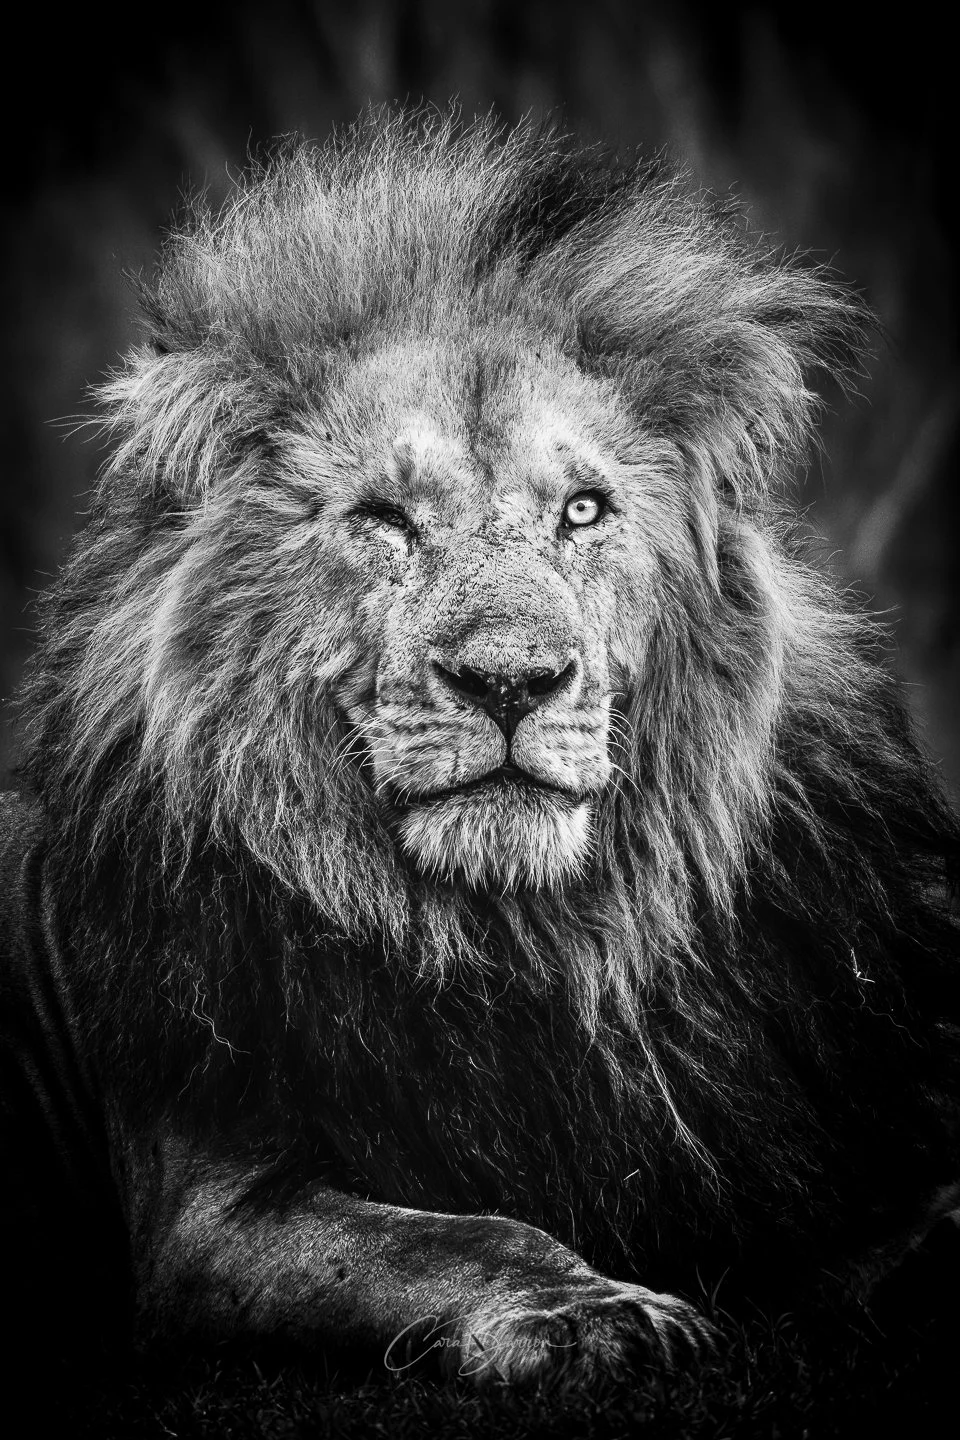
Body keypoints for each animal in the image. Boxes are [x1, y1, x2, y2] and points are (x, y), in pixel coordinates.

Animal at [1, 110, 958, 1391]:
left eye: (583, 511)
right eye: (385, 519)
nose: (511, 679)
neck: (527, 942)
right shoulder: (208, 1208)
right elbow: (466, 1235)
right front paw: (596, 1311)